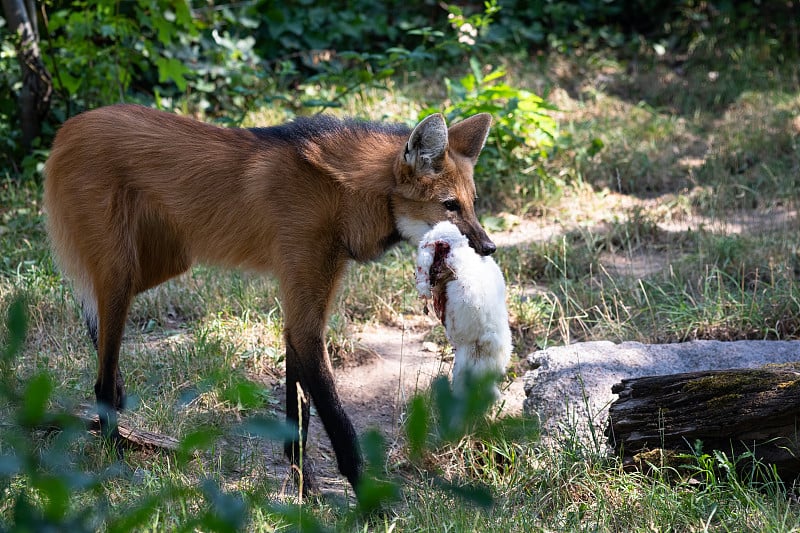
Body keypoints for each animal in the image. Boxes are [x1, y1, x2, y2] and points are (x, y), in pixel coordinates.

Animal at [43, 104, 496, 494]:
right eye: (449, 206)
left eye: (472, 204)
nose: (489, 247)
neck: (344, 194)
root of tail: (68, 128)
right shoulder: (305, 303)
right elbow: (336, 421)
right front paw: (368, 502)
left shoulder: (302, 307)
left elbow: (300, 415)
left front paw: (304, 491)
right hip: (123, 274)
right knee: (101, 374)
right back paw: (114, 457)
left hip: (163, 262)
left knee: (93, 316)